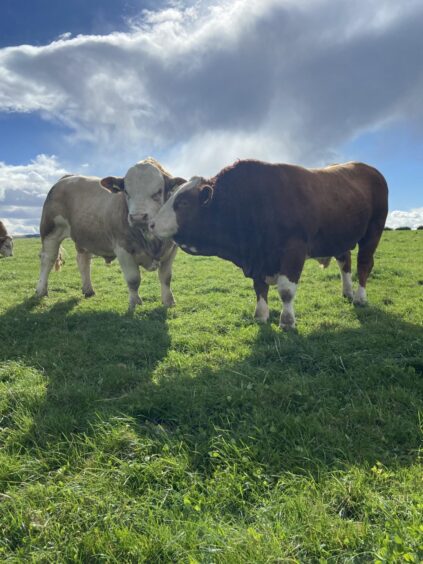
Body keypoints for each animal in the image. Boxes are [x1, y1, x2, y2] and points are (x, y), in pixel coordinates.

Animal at [37, 156, 186, 310]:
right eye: (126, 192)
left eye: (158, 191)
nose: (137, 217)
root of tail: (67, 177)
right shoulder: (122, 248)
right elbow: (133, 279)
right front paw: (135, 303)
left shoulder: (172, 248)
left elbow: (166, 277)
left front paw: (169, 301)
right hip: (51, 231)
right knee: (48, 259)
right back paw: (41, 290)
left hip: (84, 235)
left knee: (83, 260)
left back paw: (88, 289)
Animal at [151, 159, 390, 328]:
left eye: (182, 203)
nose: (151, 224)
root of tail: (371, 170)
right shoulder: (259, 258)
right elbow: (259, 288)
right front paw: (261, 315)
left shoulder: (294, 250)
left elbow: (286, 290)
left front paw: (287, 321)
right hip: (340, 237)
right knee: (345, 262)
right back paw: (347, 292)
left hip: (373, 231)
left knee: (364, 264)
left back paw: (360, 297)